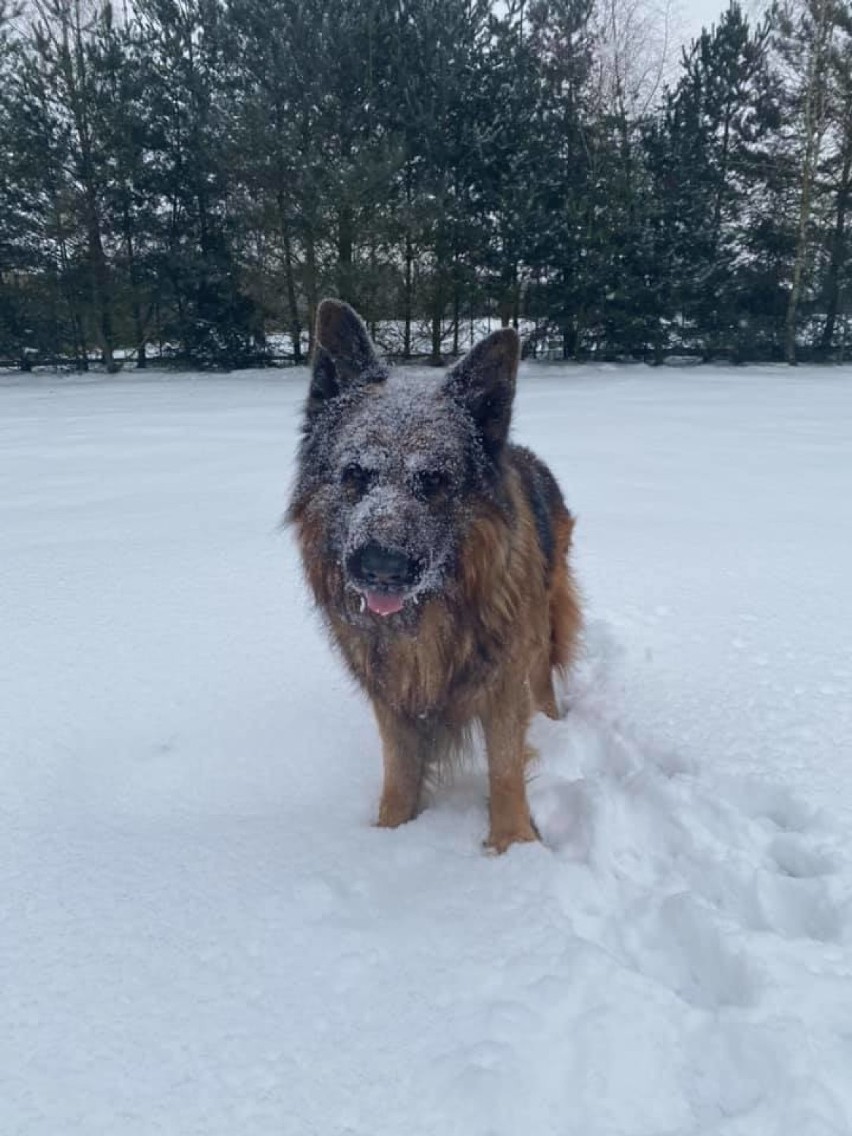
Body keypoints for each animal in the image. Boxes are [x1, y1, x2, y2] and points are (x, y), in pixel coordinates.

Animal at [288, 302, 581, 854]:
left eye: (434, 480)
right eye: (354, 473)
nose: (381, 567)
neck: (432, 612)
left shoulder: (504, 679)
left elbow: (505, 768)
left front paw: (513, 846)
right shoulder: (392, 691)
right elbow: (400, 775)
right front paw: (389, 836)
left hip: (543, 619)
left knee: (544, 680)